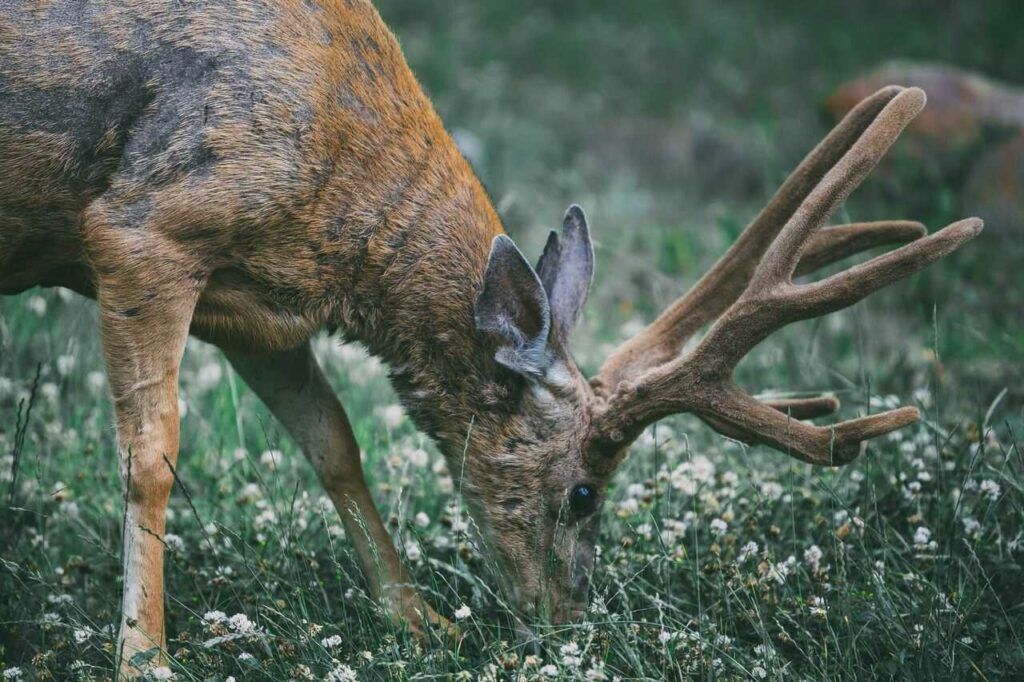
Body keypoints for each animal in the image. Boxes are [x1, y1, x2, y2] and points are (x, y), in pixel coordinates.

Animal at [0, 0, 978, 675]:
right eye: (583, 493)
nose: (569, 624)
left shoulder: (256, 308)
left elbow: (334, 442)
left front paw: (418, 621)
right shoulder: (144, 229)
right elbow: (152, 457)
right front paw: (144, 657)